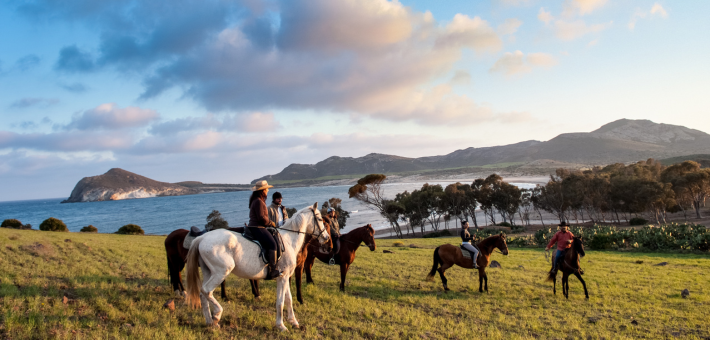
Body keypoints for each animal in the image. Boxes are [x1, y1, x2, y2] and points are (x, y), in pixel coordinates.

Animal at [186, 203, 330, 330]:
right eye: (320, 219)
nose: (327, 238)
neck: (289, 240)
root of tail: (202, 238)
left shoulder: (284, 277)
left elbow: (289, 299)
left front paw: (293, 322)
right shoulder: (282, 278)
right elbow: (280, 302)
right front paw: (281, 326)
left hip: (208, 272)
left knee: (202, 294)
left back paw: (210, 322)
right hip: (221, 272)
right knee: (206, 290)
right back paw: (216, 316)